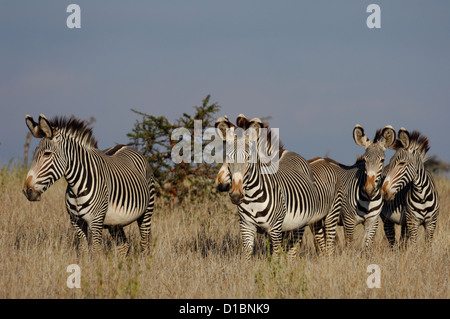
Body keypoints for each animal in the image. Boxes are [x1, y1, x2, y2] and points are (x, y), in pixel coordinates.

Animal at [23, 114, 156, 255]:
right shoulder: (76, 221)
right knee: (123, 245)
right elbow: (83, 250)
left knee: (144, 243)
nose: (27, 190)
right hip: (115, 222)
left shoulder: (96, 221)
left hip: (147, 211)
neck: (76, 186)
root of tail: (126, 146)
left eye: (47, 154)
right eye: (34, 154)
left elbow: (95, 251)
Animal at [214, 115, 342, 260]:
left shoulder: (275, 228)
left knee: (318, 245)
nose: (235, 194)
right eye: (227, 157)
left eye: (249, 158)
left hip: (322, 217)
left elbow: (276, 257)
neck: (253, 198)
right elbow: (249, 255)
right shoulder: (247, 226)